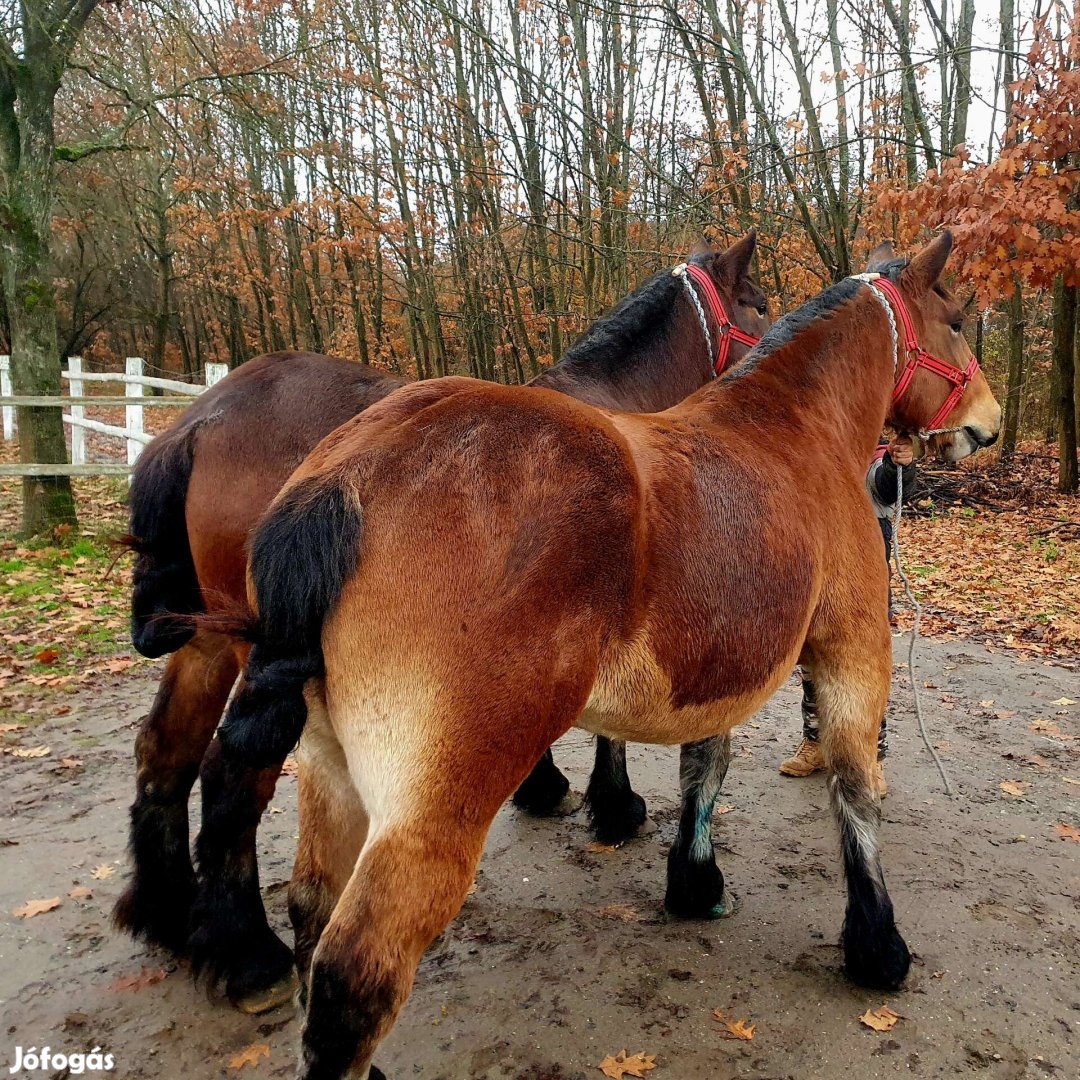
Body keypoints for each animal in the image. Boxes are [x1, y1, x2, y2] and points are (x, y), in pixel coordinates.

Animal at [113, 232, 768, 1006]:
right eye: (759, 303)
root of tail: (200, 421)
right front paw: (614, 806)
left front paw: (553, 789)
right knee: (232, 777)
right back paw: (247, 955)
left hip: (211, 639)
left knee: (165, 750)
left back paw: (170, 916)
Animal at [221, 232, 1002, 1075]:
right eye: (958, 319)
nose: (990, 421)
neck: (794, 432)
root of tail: (346, 475)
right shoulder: (851, 648)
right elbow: (855, 791)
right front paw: (877, 946)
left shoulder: (719, 663)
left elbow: (706, 765)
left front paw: (695, 882)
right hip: (428, 810)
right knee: (354, 973)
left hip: (328, 770)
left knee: (310, 908)